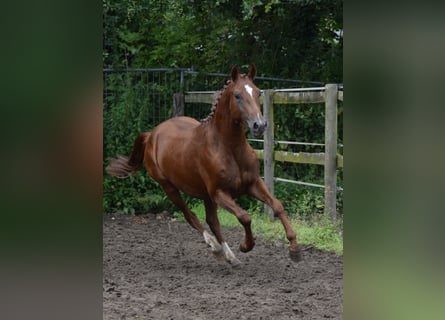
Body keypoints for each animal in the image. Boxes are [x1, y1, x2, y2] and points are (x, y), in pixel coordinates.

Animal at [107, 65, 302, 264]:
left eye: (258, 92)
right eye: (237, 95)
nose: (260, 125)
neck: (229, 149)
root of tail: (151, 135)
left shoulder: (253, 184)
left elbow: (277, 206)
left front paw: (294, 249)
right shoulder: (219, 193)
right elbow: (244, 217)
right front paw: (246, 245)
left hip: (204, 195)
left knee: (212, 221)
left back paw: (229, 256)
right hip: (169, 187)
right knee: (190, 216)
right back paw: (215, 246)